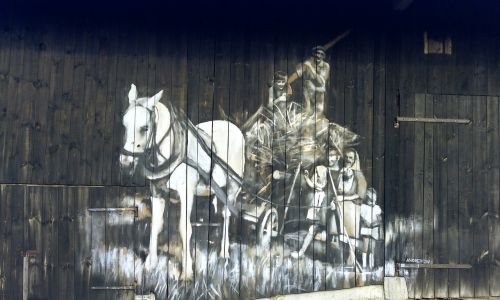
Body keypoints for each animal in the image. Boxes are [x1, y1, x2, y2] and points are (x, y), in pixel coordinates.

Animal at [121, 84, 246, 278]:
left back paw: (224, 253)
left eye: (145, 128)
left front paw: (186, 272)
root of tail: (233, 127)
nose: (125, 161)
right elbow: (155, 225)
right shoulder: (157, 192)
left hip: (233, 187)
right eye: (124, 124)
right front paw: (150, 264)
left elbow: (184, 228)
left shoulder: (186, 192)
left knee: (227, 215)